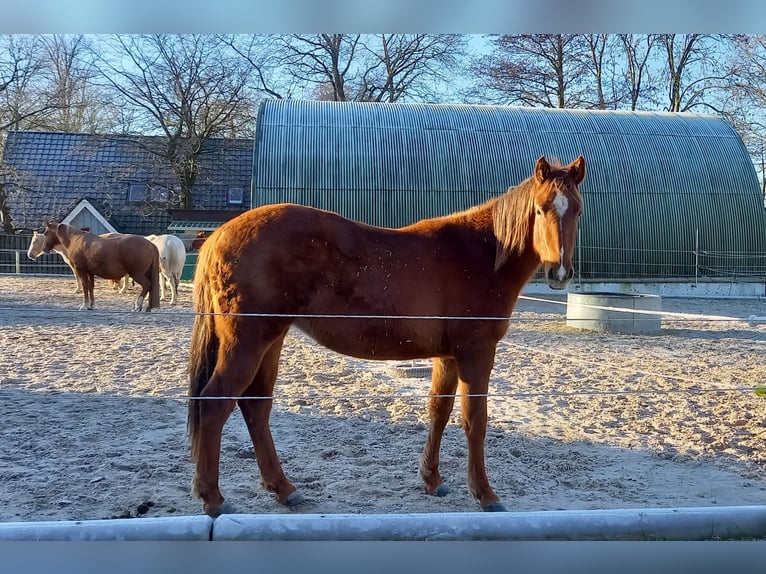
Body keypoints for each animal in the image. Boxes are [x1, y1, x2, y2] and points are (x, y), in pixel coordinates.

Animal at [188, 155, 588, 520]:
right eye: (540, 209)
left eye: (578, 210)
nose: (560, 272)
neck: (480, 254)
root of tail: (219, 236)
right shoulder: (476, 352)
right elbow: (475, 420)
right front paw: (485, 494)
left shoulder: (448, 356)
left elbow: (439, 411)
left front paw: (432, 479)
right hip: (248, 342)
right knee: (215, 403)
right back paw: (214, 498)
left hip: (271, 340)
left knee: (256, 406)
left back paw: (284, 489)